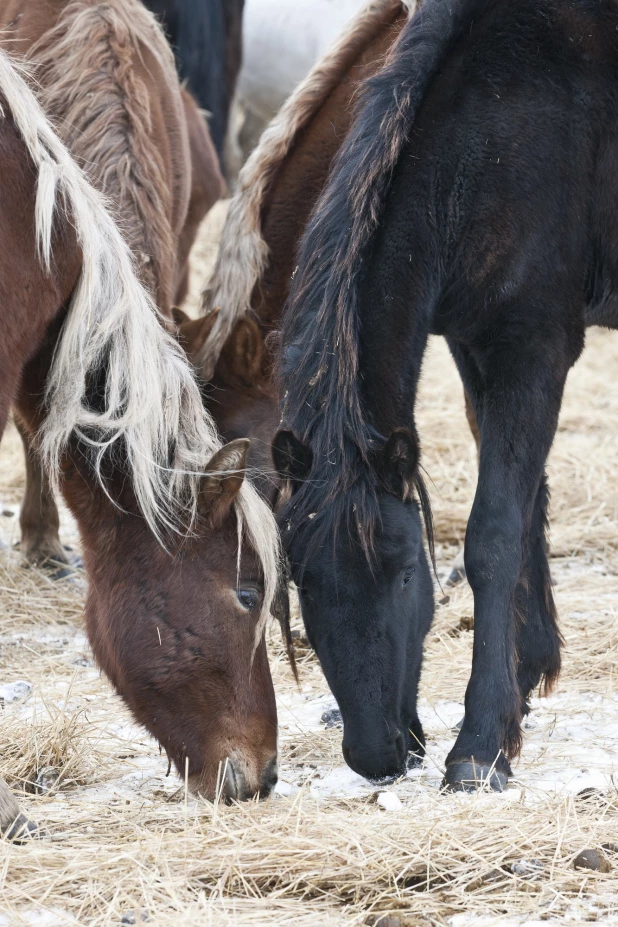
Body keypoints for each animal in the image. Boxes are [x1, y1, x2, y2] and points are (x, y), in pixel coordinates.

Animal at [274, 0, 616, 792]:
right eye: (301, 578)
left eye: (405, 574)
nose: (376, 755)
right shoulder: (474, 347)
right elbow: (529, 504)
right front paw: (526, 674)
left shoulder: (534, 348)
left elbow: (494, 531)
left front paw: (482, 745)